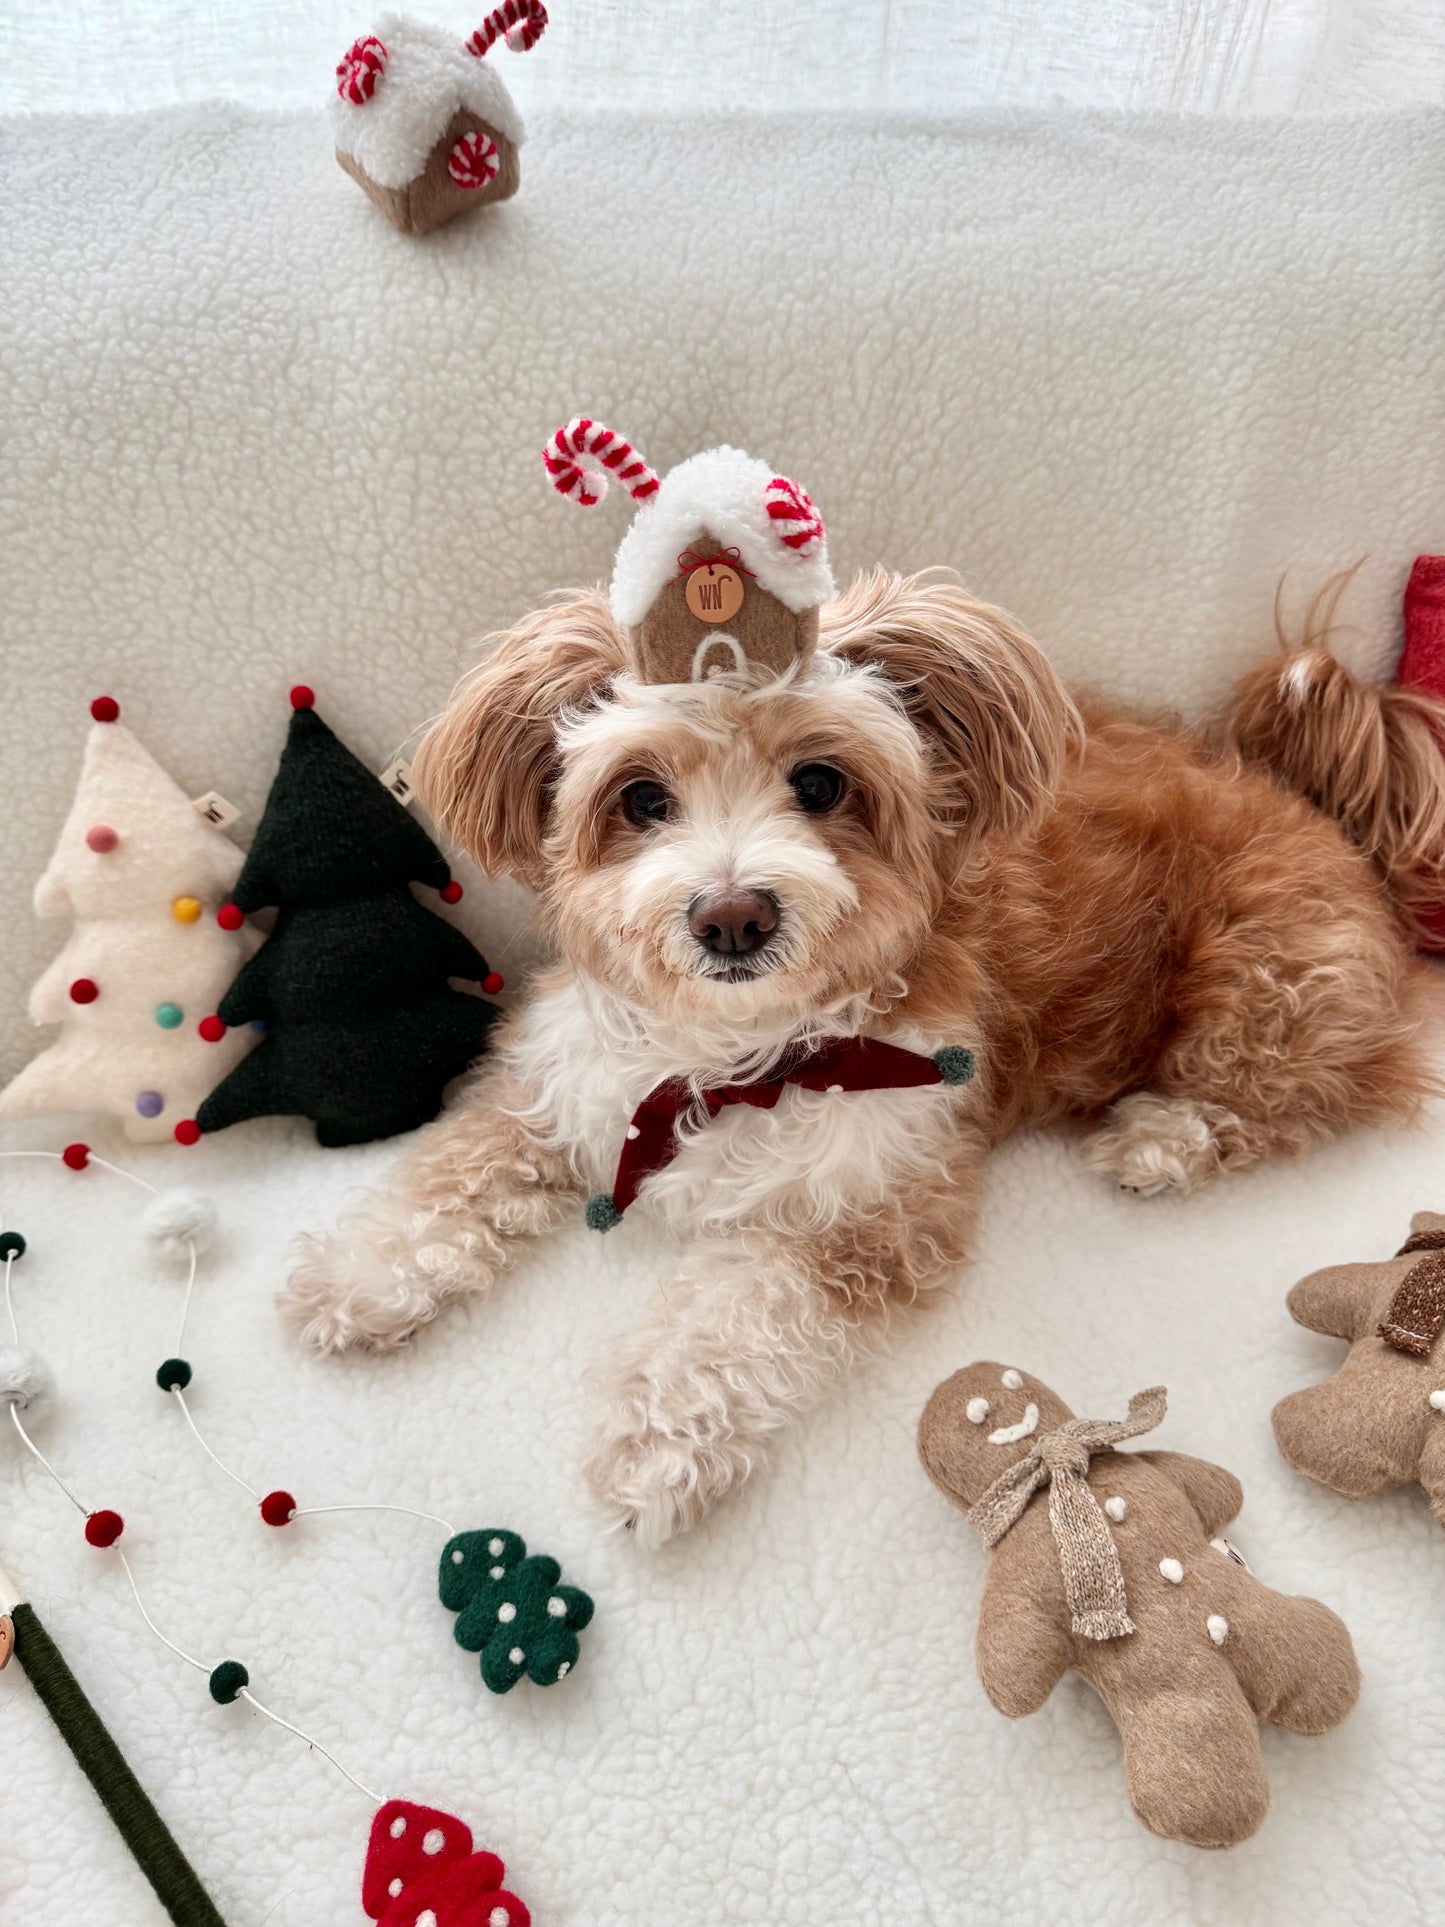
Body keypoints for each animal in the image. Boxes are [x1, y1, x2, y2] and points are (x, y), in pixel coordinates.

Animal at [283, 562, 1445, 1541]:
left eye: (819, 782)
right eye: (641, 797)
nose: (732, 916)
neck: (741, 1057)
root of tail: (1316, 803)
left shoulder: (872, 1201)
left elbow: (734, 1311)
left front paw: (658, 1440)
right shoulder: (562, 1082)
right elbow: (456, 1167)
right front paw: (359, 1274)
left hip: (1265, 978)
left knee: (1294, 1091)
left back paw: (1157, 1136)